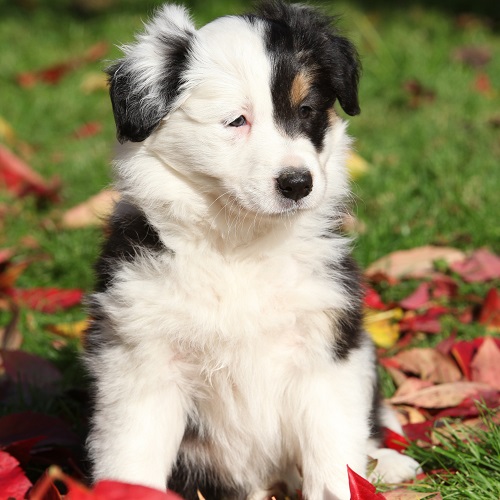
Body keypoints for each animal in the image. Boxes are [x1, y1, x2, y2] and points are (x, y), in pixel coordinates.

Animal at [84, 1, 420, 498]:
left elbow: (332, 452)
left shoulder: (327, 348)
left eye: (306, 110)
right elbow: (133, 456)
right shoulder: (141, 358)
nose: (299, 183)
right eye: (235, 120)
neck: (240, 243)